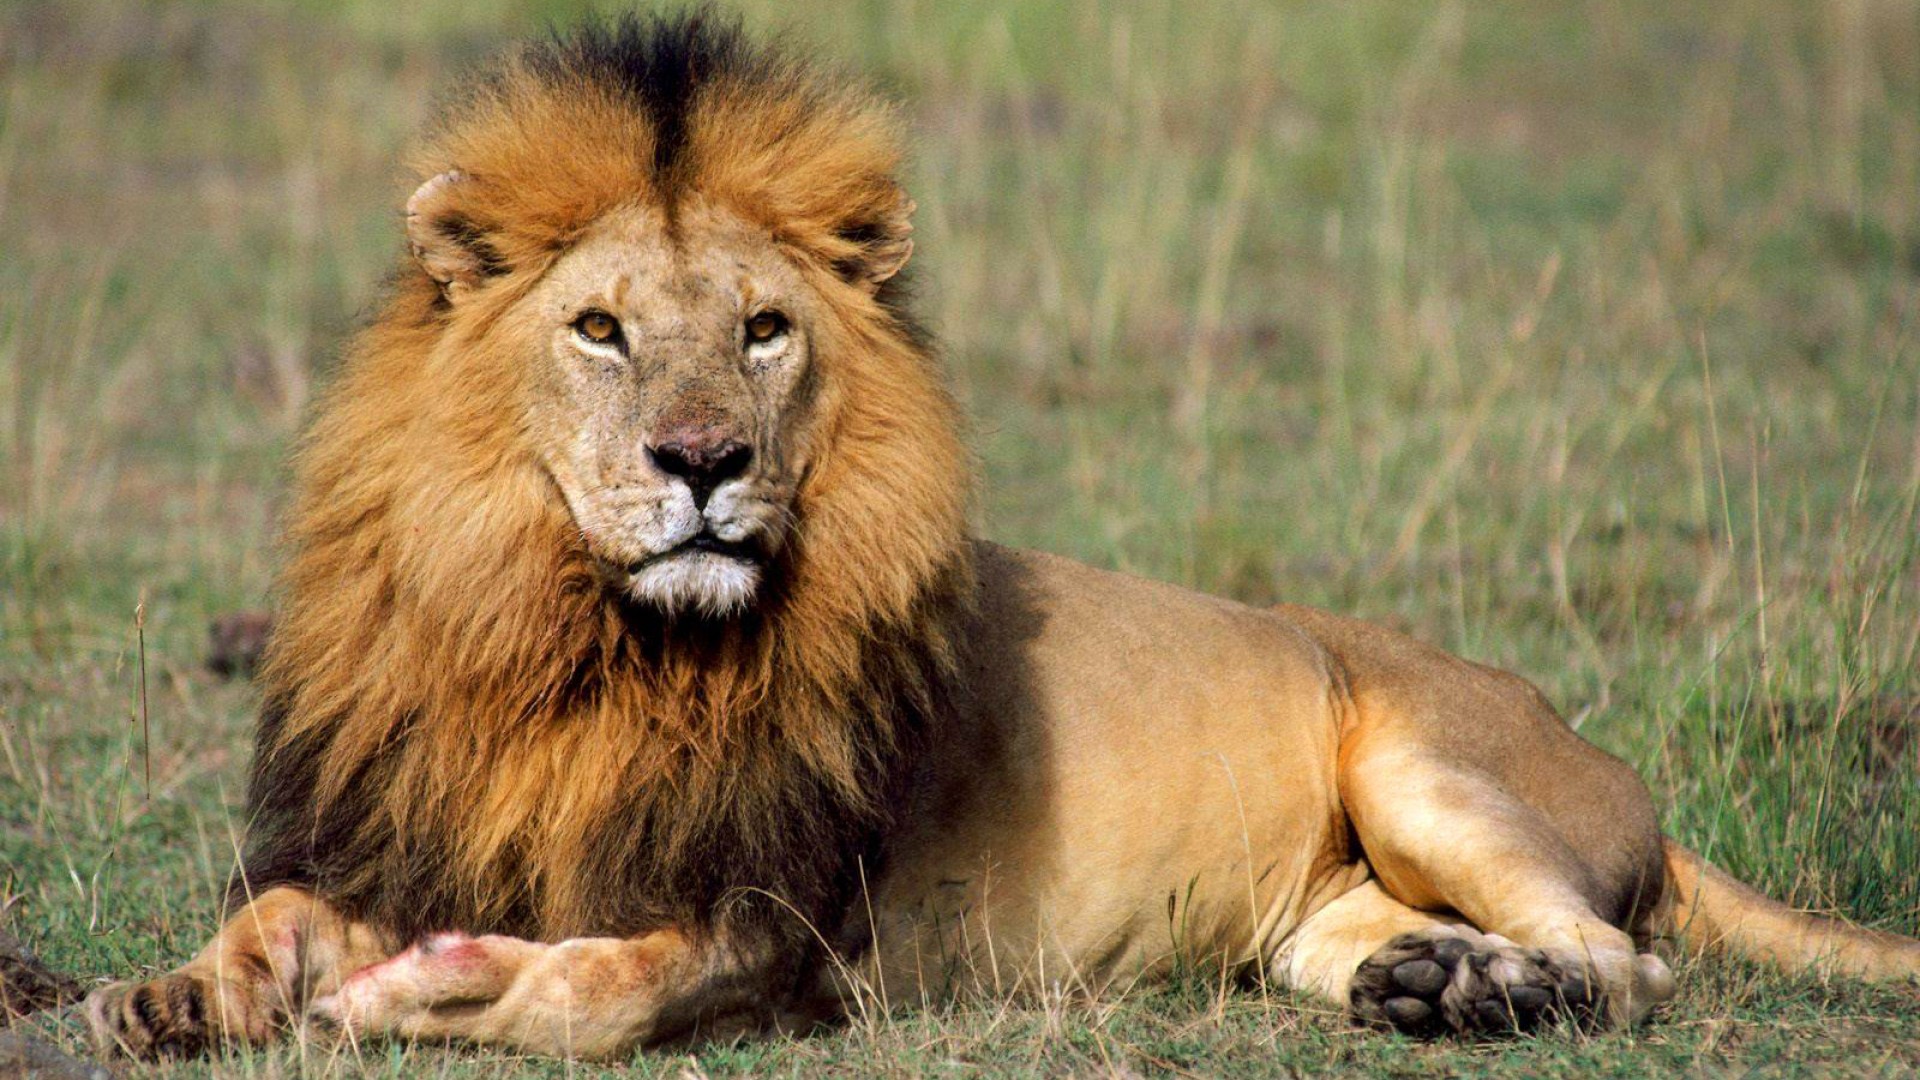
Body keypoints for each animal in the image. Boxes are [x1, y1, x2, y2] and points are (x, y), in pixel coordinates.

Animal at [86, 12, 1919, 1060]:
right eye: (600, 330)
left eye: (762, 329)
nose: (704, 460)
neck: (579, 646)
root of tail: (1610, 765)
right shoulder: (413, 822)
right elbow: (268, 921)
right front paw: (164, 996)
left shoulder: (782, 928)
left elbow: (587, 994)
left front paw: (434, 997)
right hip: (1321, 909)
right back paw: (1438, 988)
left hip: (1427, 763)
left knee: (1629, 960)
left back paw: (1504, 995)